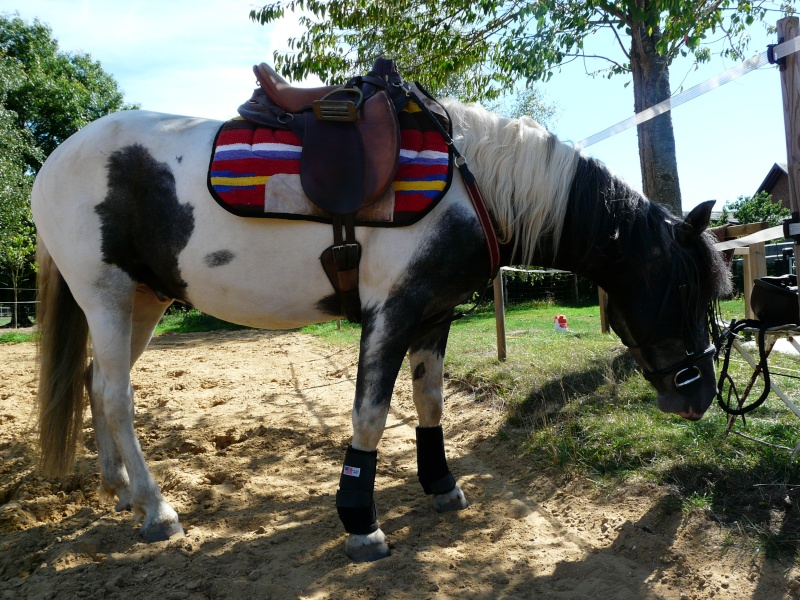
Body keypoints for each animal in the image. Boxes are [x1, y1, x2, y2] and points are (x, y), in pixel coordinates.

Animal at [31, 99, 732, 564]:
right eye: (688, 289)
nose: (699, 395)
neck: (471, 182)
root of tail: (52, 163)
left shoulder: (434, 315)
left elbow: (430, 404)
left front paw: (441, 486)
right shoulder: (392, 311)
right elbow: (369, 415)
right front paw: (360, 522)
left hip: (143, 302)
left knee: (96, 384)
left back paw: (119, 490)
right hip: (106, 296)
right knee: (117, 397)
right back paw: (156, 510)